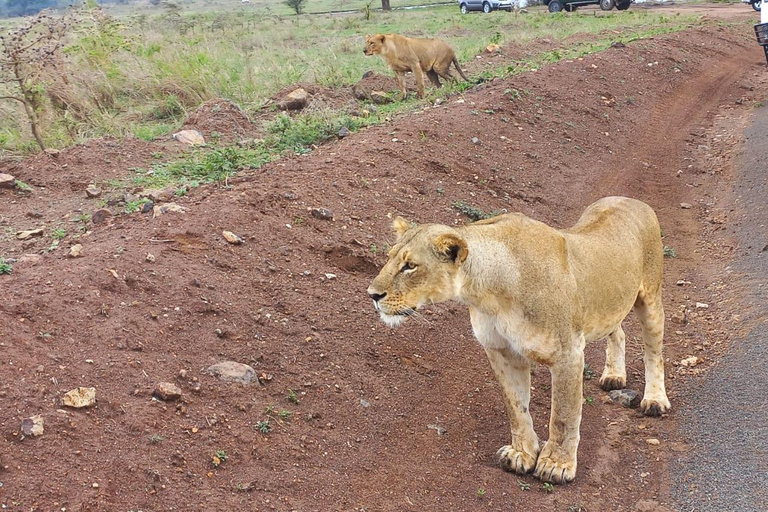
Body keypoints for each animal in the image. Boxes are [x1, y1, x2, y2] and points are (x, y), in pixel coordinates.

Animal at [368, 197, 668, 484]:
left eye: (410, 266)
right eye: (389, 259)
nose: (372, 294)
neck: (487, 293)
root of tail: (632, 200)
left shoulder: (568, 353)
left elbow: (563, 415)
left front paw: (556, 465)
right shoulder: (501, 350)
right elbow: (516, 406)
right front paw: (521, 454)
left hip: (650, 299)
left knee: (654, 352)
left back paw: (654, 400)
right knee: (618, 331)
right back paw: (614, 376)